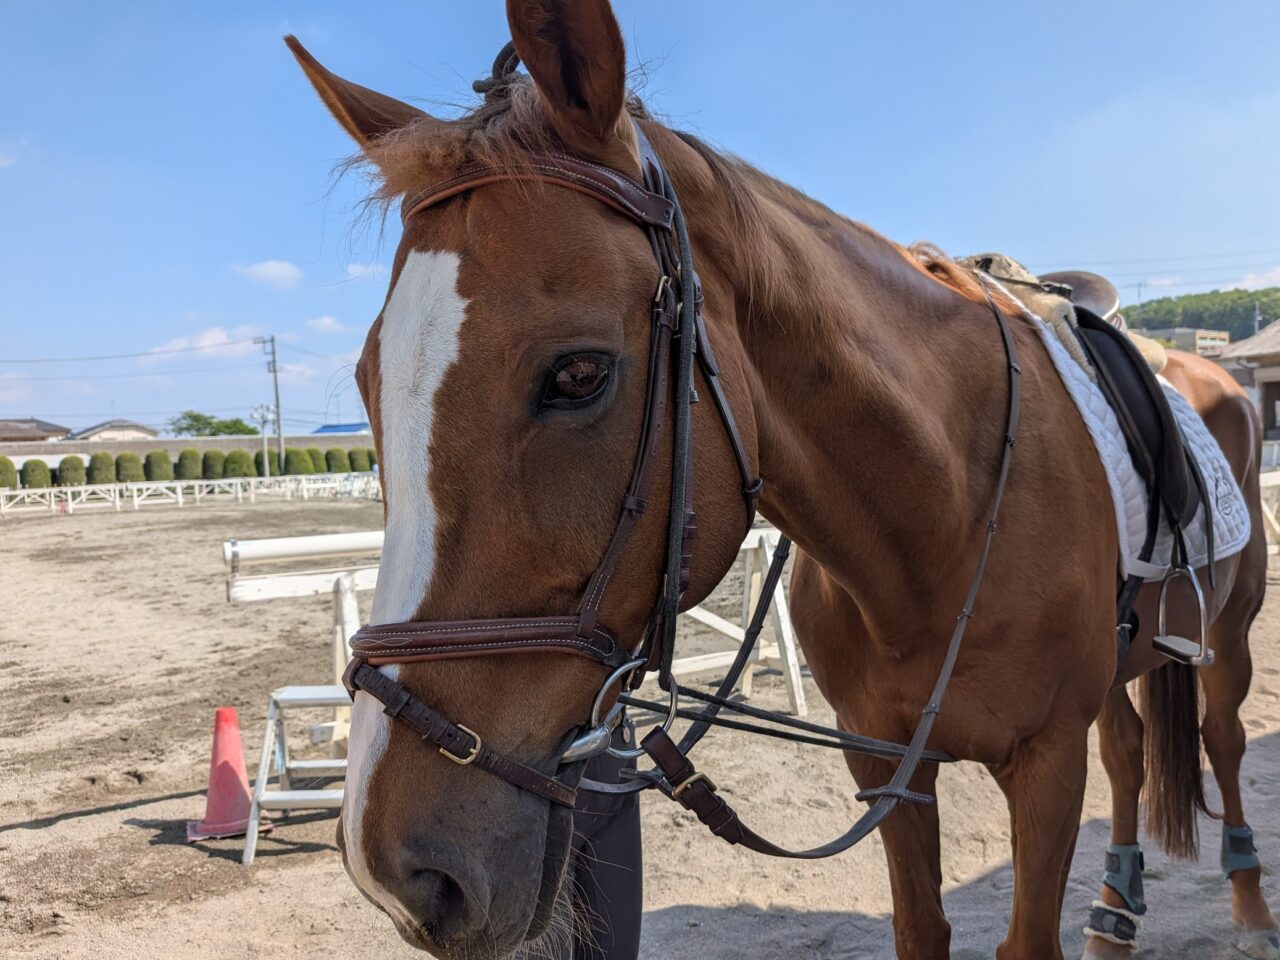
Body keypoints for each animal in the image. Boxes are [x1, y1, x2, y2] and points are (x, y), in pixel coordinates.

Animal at [285, 2, 1273, 957]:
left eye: (578, 374)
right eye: (370, 384)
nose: (394, 866)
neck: (943, 524)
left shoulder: (1046, 763)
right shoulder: (884, 765)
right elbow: (922, 926)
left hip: (1227, 635)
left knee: (1220, 738)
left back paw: (1249, 903)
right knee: (1131, 748)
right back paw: (1116, 909)